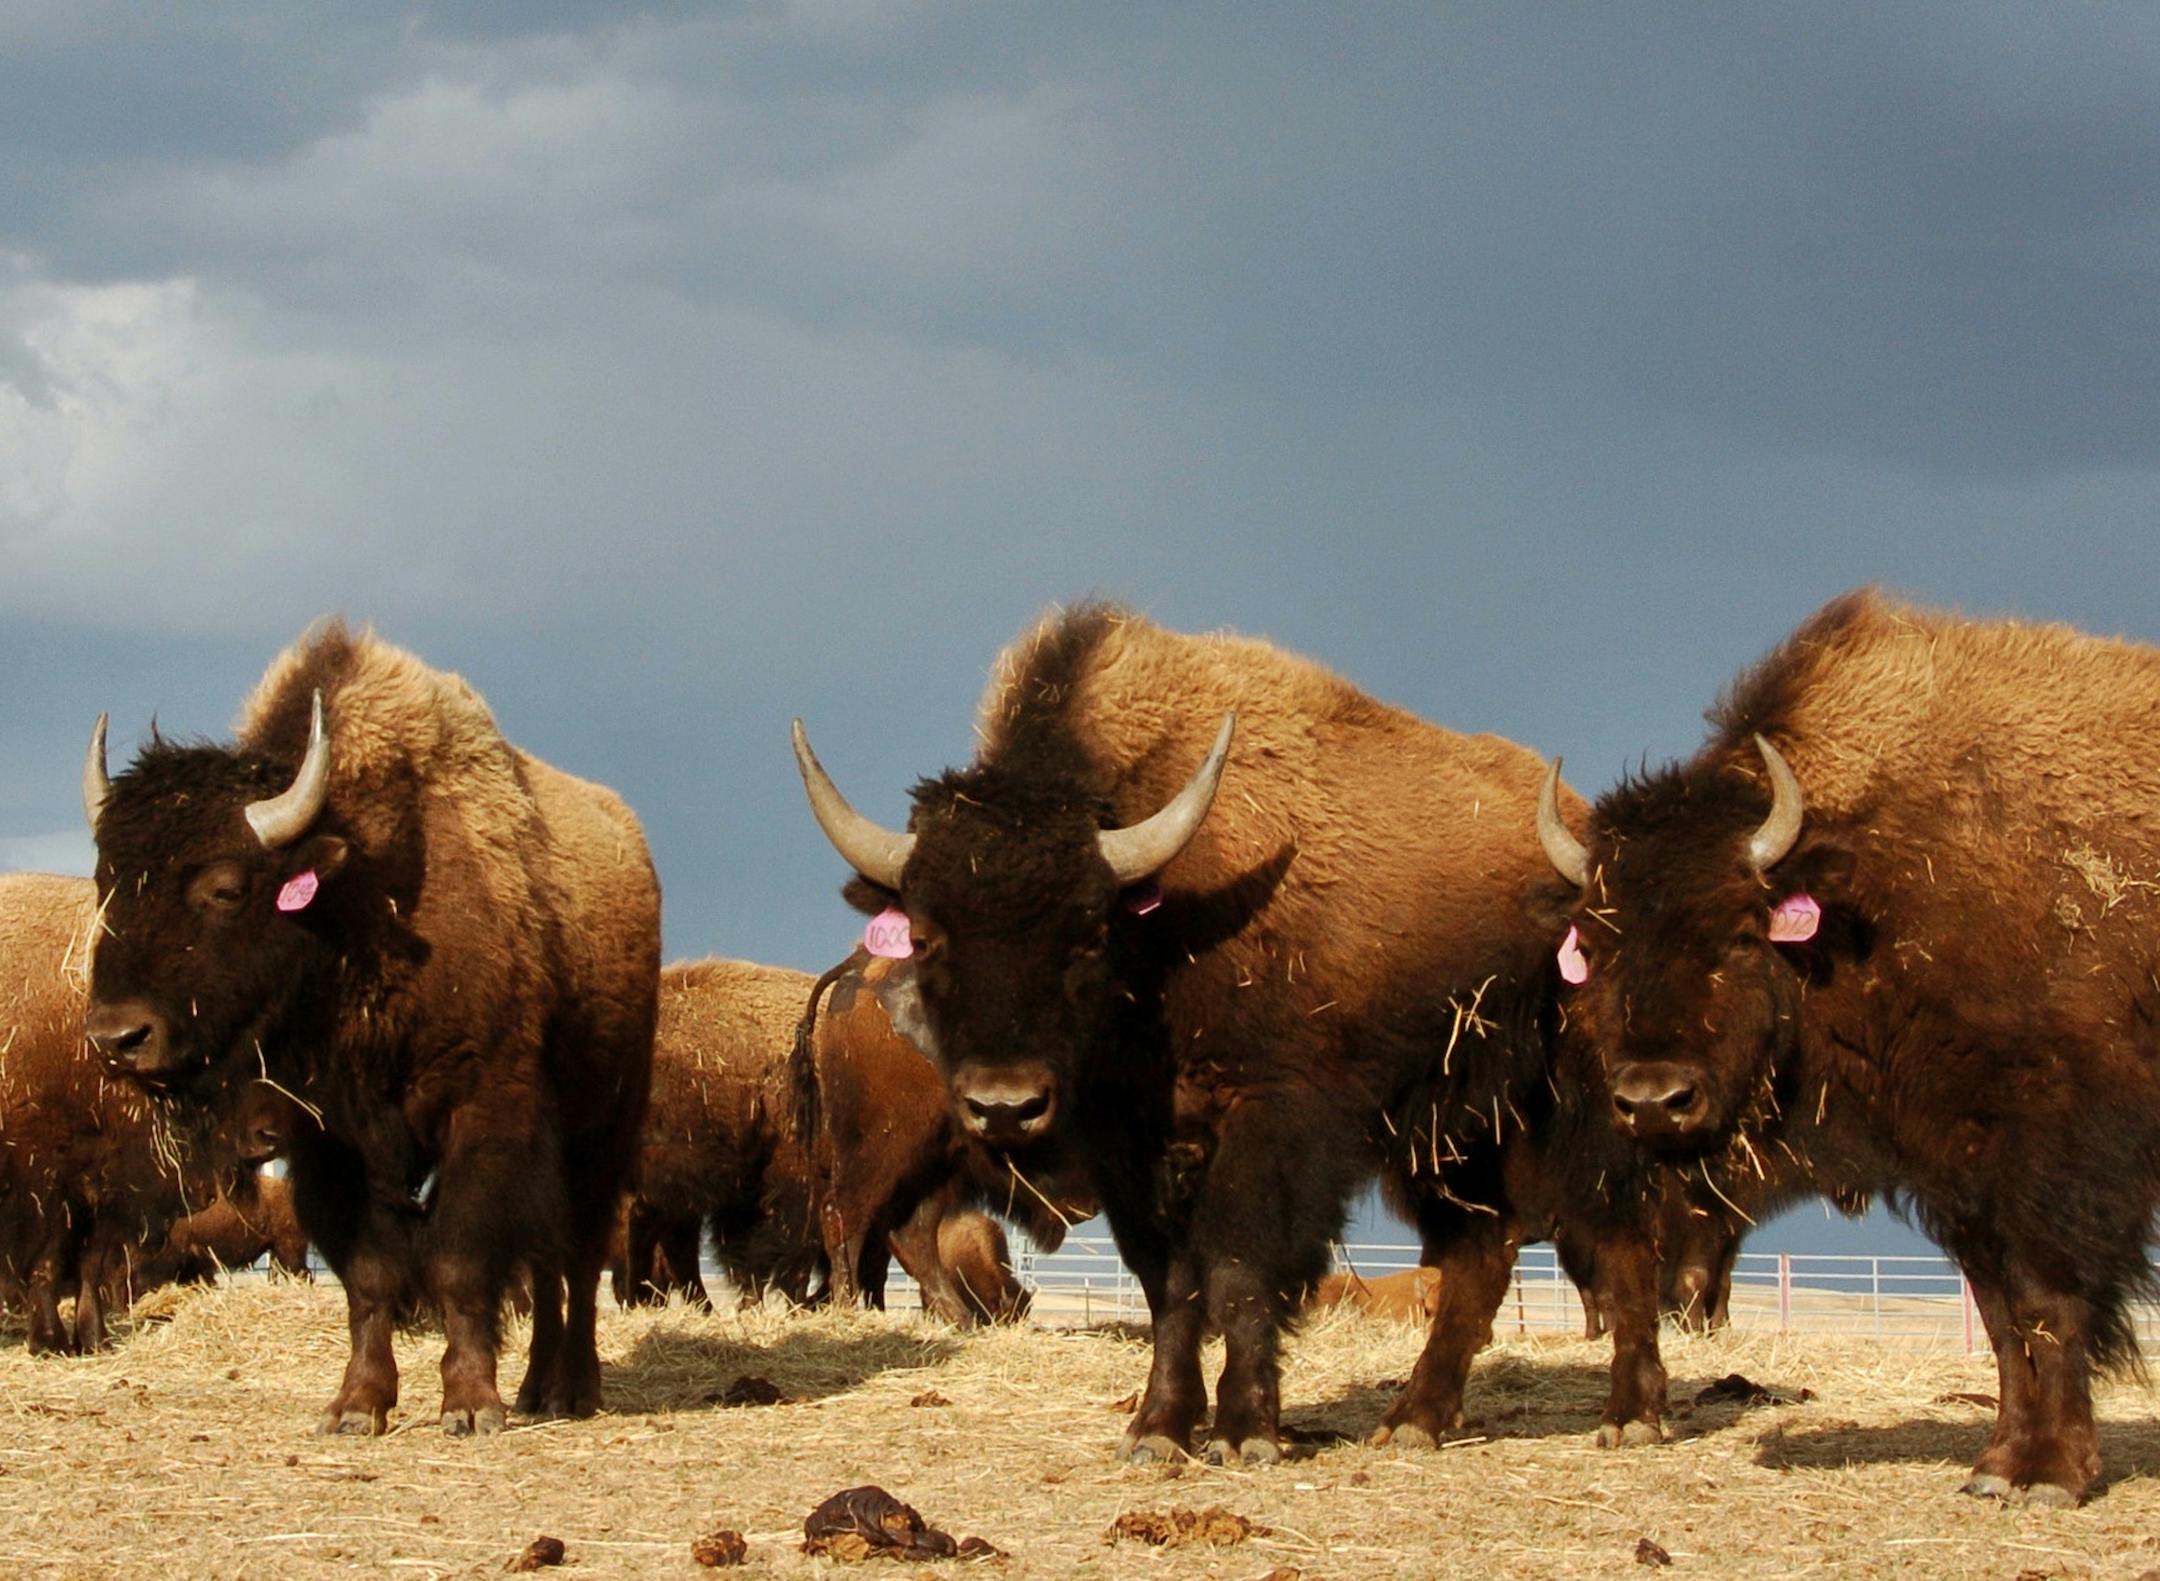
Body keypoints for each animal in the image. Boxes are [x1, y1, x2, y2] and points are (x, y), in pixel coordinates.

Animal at [81, 621, 659, 1435]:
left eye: (226, 887)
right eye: (106, 881)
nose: (118, 1038)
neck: (358, 901)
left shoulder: (481, 1112)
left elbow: (460, 1260)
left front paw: (470, 1406)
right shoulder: (327, 1143)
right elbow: (371, 1274)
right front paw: (357, 1405)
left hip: (602, 1128)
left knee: (575, 1256)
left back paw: (571, 1390)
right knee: (549, 1265)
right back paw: (536, 1388)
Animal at [794, 604, 1667, 1462]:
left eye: (1088, 933)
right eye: (926, 935)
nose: (1003, 1104)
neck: (1164, 919)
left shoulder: (1269, 1120)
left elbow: (1241, 1267)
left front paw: (1246, 1431)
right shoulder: (1132, 1152)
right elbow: (1171, 1285)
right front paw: (1158, 1430)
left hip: (1576, 1112)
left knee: (1620, 1240)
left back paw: (1630, 1416)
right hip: (1451, 1136)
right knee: (1480, 1255)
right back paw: (1414, 1421)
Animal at [1537, 587, 2160, 1505]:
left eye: (1740, 932)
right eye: (1598, 941)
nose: (1654, 1099)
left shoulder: (2053, 1164)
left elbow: (2049, 1303)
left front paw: (2053, 1473)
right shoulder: (1956, 1173)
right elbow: (2003, 1318)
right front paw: (1996, 1465)